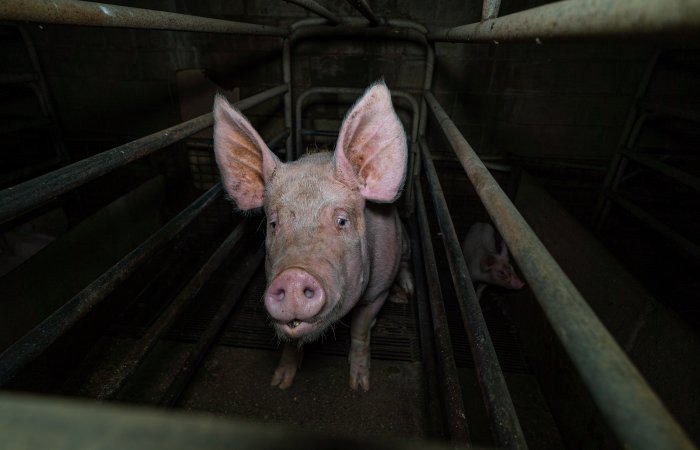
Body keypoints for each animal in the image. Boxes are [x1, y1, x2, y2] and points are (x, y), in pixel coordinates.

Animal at [211, 82, 412, 392]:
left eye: (342, 221)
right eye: (274, 224)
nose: (293, 277)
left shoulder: (377, 292)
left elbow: (361, 330)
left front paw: (359, 385)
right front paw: (280, 382)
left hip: (404, 246)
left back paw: (406, 294)